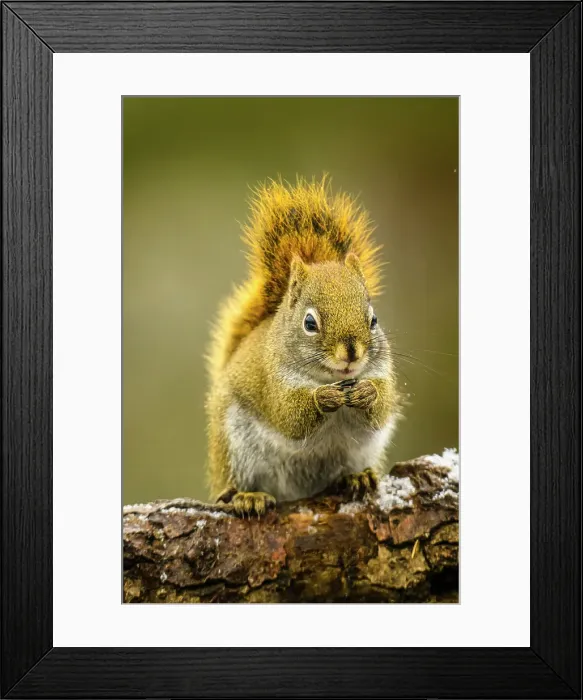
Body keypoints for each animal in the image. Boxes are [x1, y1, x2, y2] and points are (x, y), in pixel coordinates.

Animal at [206, 176, 399, 516]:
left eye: (373, 319)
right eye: (310, 323)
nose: (352, 353)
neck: (332, 378)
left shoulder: (383, 372)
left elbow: (383, 404)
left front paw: (367, 392)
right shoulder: (273, 383)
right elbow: (289, 415)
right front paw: (324, 397)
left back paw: (357, 477)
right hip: (234, 448)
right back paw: (247, 496)